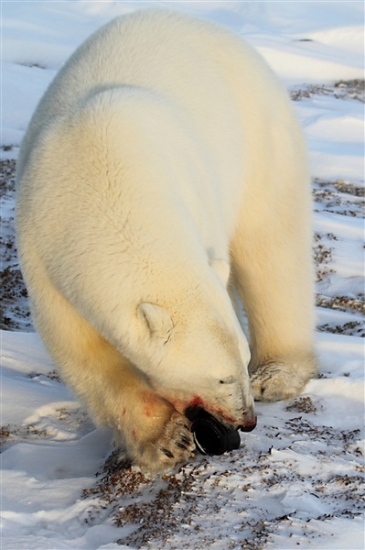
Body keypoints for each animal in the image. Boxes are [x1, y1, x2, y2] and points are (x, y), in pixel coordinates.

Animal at [14, 9, 316, 474]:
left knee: (271, 250)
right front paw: (167, 440)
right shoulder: (45, 251)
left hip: (261, 136)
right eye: (222, 376)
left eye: (241, 362)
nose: (246, 420)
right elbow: (85, 352)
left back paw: (278, 373)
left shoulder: (194, 194)